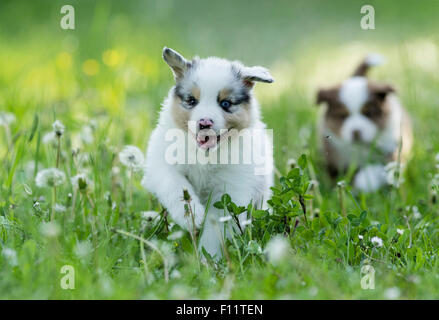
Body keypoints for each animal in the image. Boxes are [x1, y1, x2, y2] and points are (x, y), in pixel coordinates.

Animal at [143, 47, 276, 258]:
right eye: (191, 100)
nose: (204, 122)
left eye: (225, 103)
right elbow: (175, 186)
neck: (205, 156)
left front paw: (210, 258)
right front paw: (192, 217)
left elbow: (217, 228)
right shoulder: (162, 166)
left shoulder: (230, 190)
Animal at [316, 54, 412, 192]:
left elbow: (389, 164)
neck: (361, 147)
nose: (356, 132)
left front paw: (368, 179)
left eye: (368, 114)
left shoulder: (394, 143)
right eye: (343, 116)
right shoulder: (334, 156)